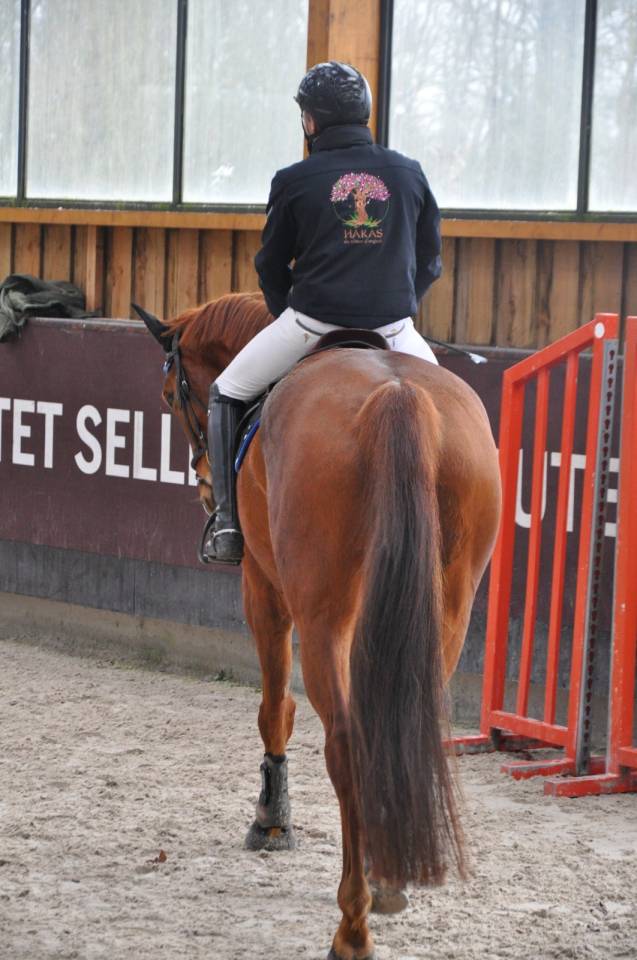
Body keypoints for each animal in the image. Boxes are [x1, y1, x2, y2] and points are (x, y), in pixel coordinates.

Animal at [138, 292, 501, 960]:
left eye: (172, 394)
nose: (204, 485)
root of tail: (397, 396)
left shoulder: (262, 587)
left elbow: (274, 708)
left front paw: (271, 822)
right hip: (447, 610)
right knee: (402, 731)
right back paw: (387, 880)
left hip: (322, 615)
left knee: (348, 746)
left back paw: (353, 922)